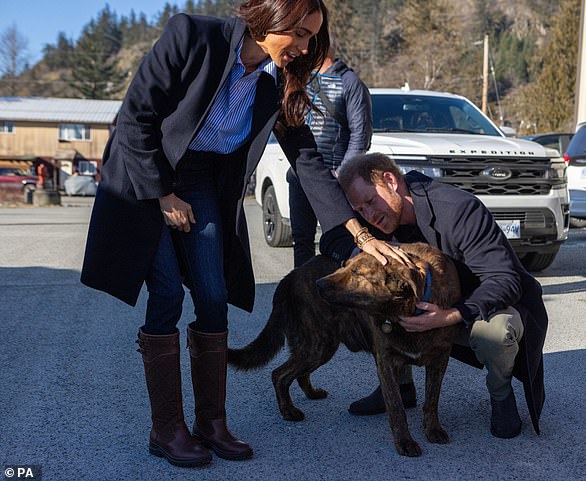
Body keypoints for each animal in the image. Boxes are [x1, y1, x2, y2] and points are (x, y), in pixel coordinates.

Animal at [228, 242, 460, 456]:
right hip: (318, 345)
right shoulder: (386, 361)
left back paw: (311, 393)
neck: (407, 311)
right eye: (344, 265)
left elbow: (432, 400)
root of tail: (290, 276)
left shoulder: (440, 358)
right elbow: (396, 406)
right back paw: (288, 411)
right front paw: (404, 442)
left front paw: (433, 429)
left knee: (297, 373)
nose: (318, 284)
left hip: (321, 347)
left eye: (357, 273)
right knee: (279, 374)